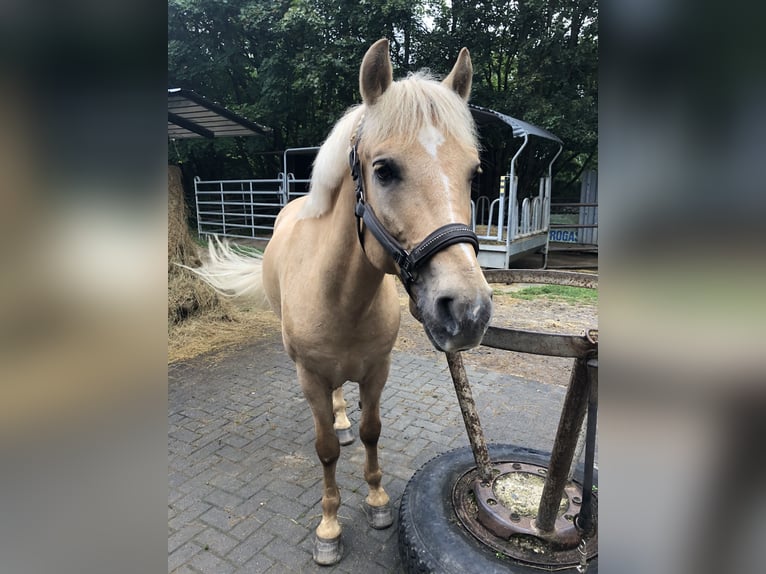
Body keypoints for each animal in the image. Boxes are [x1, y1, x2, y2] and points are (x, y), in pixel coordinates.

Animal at [192, 40, 492, 568]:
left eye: (472, 173)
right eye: (384, 170)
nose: (468, 311)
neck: (342, 298)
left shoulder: (377, 370)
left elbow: (372, 431)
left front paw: (376, 500)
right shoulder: (310, 376)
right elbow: (327, 449)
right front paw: (329, 527)